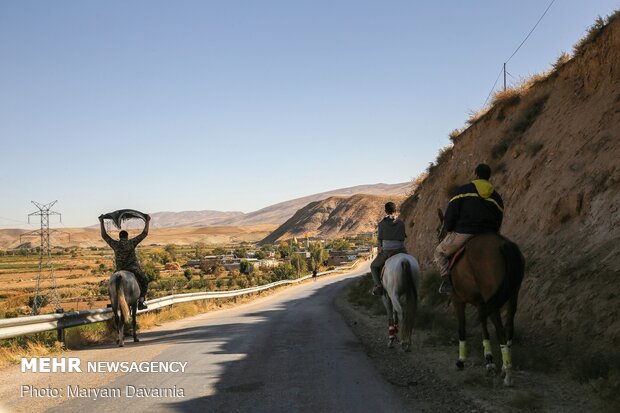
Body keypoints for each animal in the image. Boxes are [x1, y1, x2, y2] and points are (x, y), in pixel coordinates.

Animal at [436, 209, 524, 386]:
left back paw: (508, 373)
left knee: (500, 330)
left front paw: (461, 360)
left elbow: (462, 328)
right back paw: (504, 368)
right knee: (509, 327)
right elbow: (484, 330)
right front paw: (489, 362)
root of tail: (504, 245)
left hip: (493, 299)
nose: (439, 238)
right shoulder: (481, 303)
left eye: (438, 230)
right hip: (512, 295)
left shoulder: (457, 300)